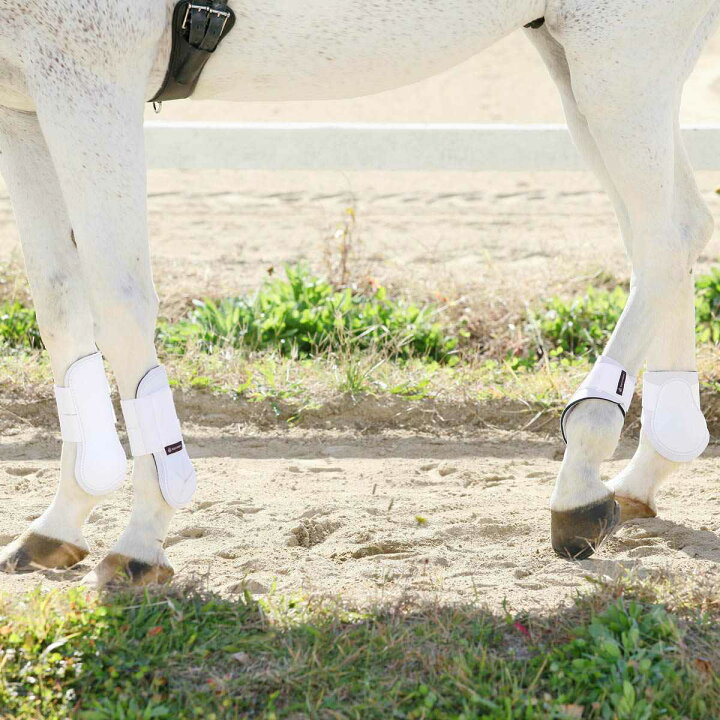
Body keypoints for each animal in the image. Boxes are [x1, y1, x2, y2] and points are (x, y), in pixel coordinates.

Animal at [0, 0, 717, 585]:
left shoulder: (88, 82)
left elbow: (119, 303)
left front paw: (143, 534)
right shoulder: (24, 104)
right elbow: (59, 302)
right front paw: (60, 520)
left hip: (619, 64)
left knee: (664, 240)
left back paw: (581, 480)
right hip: (582, 64)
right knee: (671, 233)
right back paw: (646, 470)